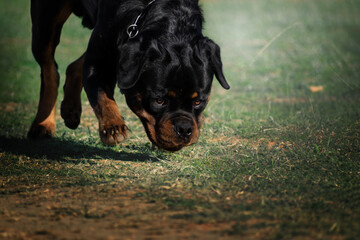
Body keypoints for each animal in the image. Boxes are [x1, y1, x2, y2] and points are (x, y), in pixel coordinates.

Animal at [29, 0, 229, 150]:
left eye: (198, 101)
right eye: (159, 100)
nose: (185, 129)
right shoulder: (98, 63)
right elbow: (102, 97)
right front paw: (113, 127)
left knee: (72, 65)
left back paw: (70, 110)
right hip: (46, 19)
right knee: (49, 69)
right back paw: (43, 124)